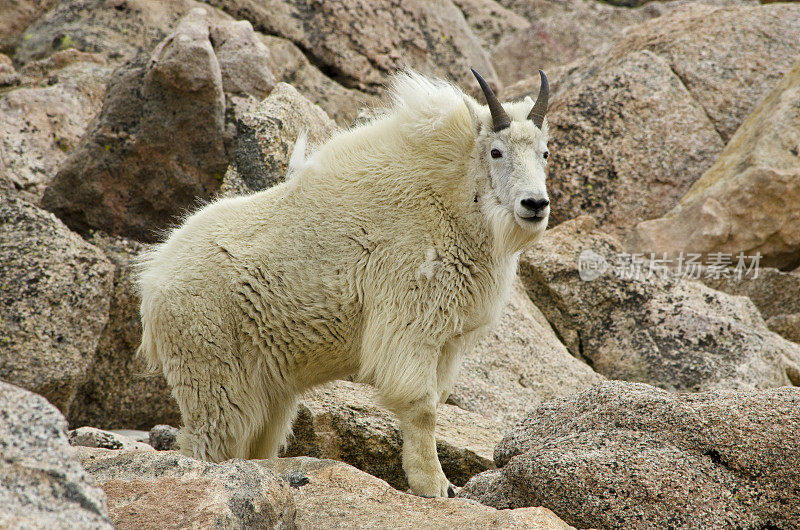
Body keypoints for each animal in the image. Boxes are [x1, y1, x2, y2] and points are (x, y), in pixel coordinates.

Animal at [138, 69, 552, 496]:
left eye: (545, 153)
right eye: (496, 152)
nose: (535, 204)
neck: (452, 202)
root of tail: (151, 282)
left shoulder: (447, 340)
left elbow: (435, 400)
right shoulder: (410, 321)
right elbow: (422, 407)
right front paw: (434, 485)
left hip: (266, 388)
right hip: (210, 371)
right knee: (208, 440)